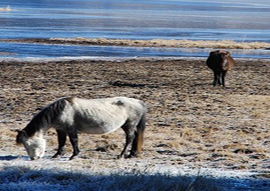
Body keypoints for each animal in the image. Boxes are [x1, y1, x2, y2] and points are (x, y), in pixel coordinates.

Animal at [15, 96, 147, 160]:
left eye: (28, 144)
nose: (33, 158)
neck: (61, 110)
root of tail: (139, 102)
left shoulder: (71, 129)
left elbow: (74, 141)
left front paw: (74, 155)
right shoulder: (61, 129)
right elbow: (61, 142)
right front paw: (57, 154)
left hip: (129, 125)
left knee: (130, 139)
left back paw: (121, 155)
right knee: (135, 138)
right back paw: (132, 154)